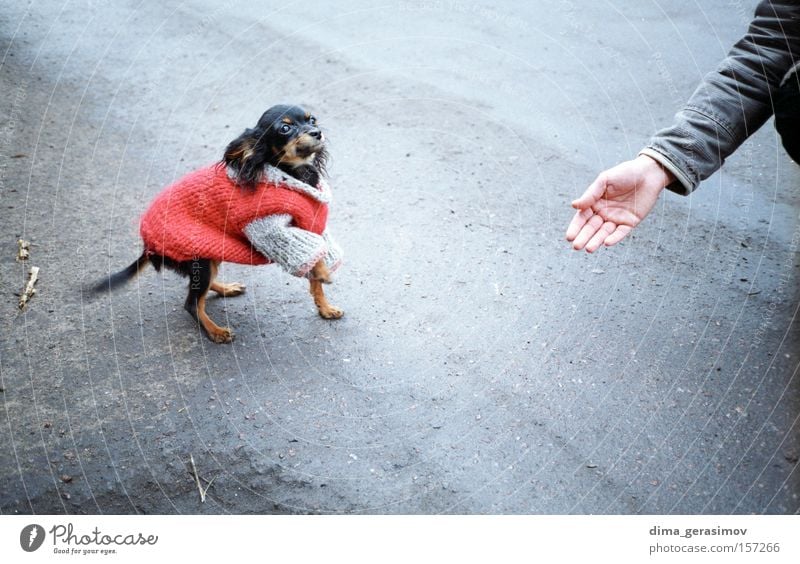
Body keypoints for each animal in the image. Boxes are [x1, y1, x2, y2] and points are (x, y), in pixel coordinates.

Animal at [92, 106, 342, 344]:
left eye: (312, 120)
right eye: (285, 128)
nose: (317, 132)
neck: (291, 173)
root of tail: (147, 245)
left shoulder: (311, 227)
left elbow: (315, 273)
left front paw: (325, 308)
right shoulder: (272, 233)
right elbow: (314, 256)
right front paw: (323, 273)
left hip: (210, 254)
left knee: (200, 286)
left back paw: (226, 289)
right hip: (199, 259)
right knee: (192, 303)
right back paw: (216, 332)